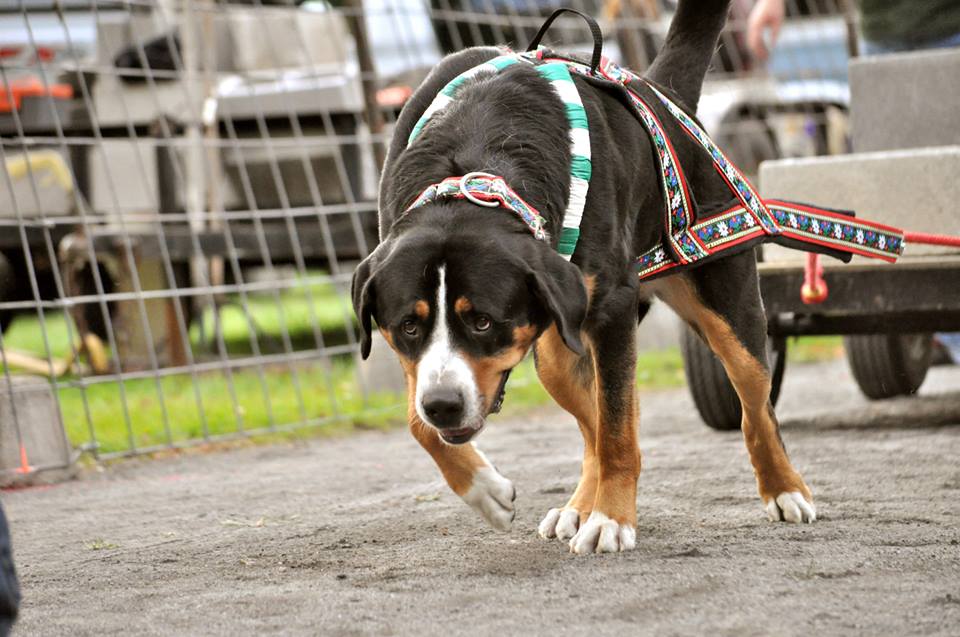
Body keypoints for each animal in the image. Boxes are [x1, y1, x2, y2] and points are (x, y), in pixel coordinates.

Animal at [352, 0, 816, 552]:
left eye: (483, 321)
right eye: (409, 326)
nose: (444, 404)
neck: (476, 164)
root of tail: (664, 92)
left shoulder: (612, 308)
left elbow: (617, 431)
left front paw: (612, 518)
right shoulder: (417, 360)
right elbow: (419, 423)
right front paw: (486, 490)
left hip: (730, 307)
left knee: (755, 407)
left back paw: (785, 490)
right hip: (556, 354)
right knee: (592, 422)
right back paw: (577, 508)